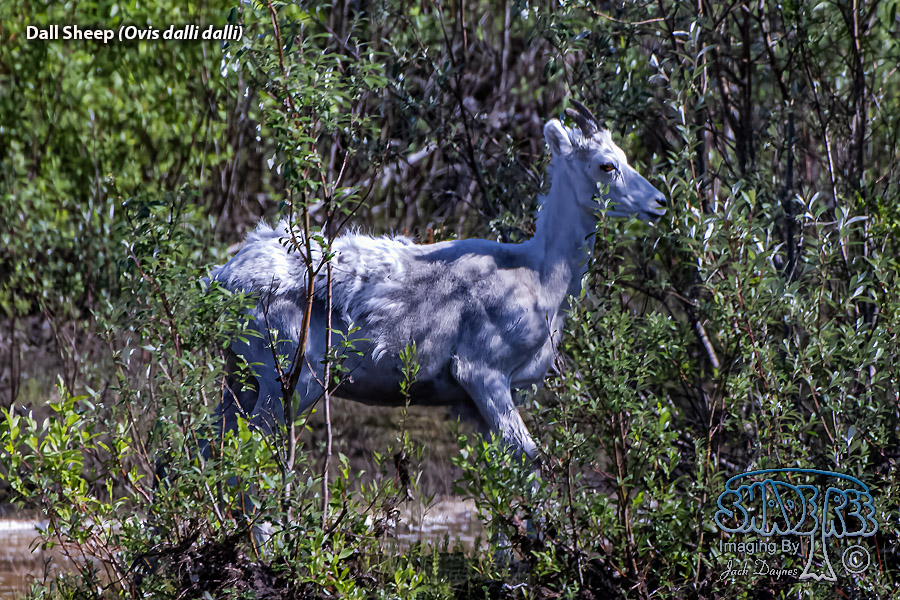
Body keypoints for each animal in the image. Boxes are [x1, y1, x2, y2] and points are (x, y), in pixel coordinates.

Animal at [210, 102, 666, 461]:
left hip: (242, 378)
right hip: (288, 378)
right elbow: (532, 463)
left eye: (625, 155)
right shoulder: (482, 372)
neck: (540, 278)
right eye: (606, 165)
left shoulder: (475, 403)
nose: (660, 203)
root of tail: (223, 280)